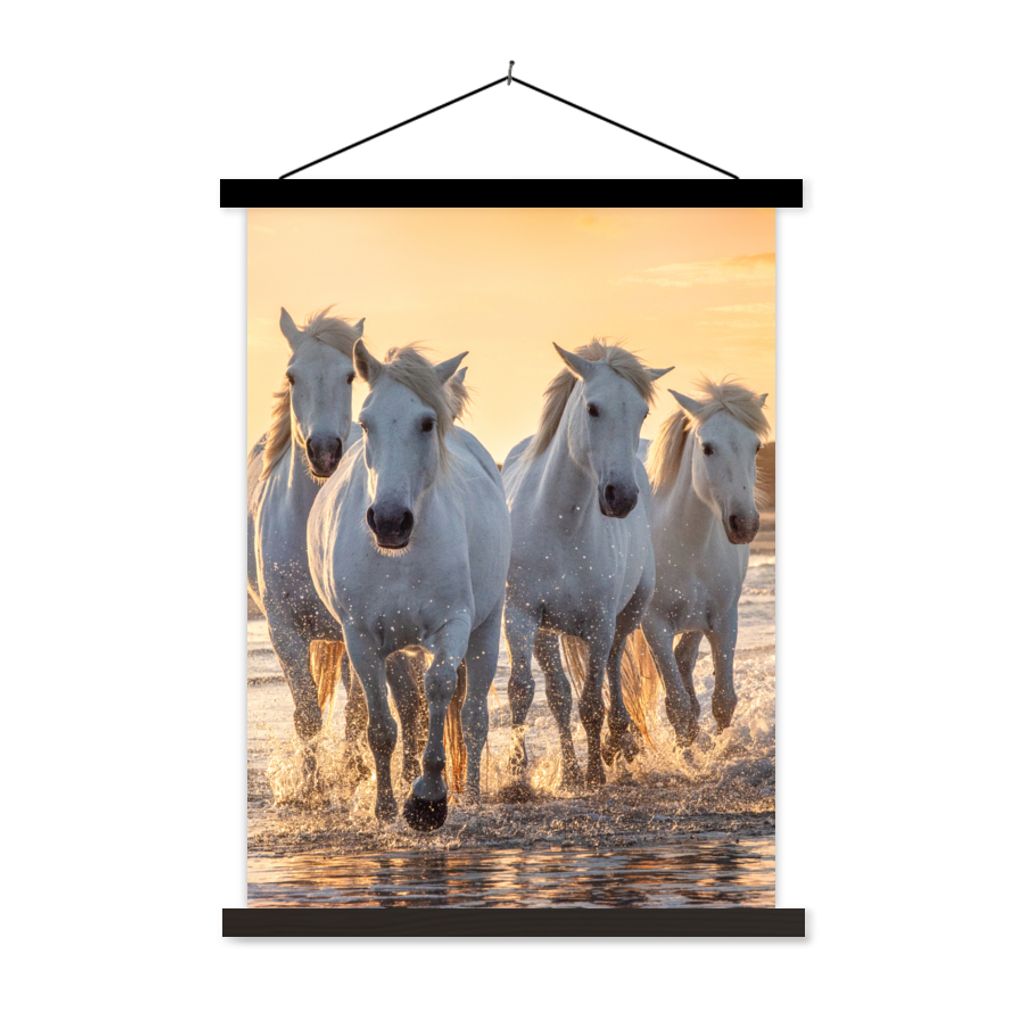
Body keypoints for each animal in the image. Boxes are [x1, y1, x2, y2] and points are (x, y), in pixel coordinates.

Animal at [307, 342, 510, 831]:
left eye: (426, 422)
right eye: (366, 422)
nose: (389, 520)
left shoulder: (453, 625)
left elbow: (439, 688)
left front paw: (428, 798)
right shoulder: (361, 637)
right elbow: (382, 725)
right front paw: (385, 807)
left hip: (486, 629)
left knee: (473, 717)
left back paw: (472, 794)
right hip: (399, 648)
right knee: (409, 711)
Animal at [501, 341, 671, 792]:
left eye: (641, 412)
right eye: (593, 408)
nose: (620, 497)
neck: (560, 522)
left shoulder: (598, 623)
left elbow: (593, 700)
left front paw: (596, 771)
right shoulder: (521, 616)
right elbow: (524, 691)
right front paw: (516, 777)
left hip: (626, 615)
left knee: (612, 668)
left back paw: (618, 743)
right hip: (548, 631)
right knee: (559, 694)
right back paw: (571, 770)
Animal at [627, 379, 770, 746]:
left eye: (756, 447)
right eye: (707, 448)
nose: (744, 524)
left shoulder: (723, 619)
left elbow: (723, 700)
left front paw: (719, 749)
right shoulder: (655, 625)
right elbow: (677, 707)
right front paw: (688, 755)